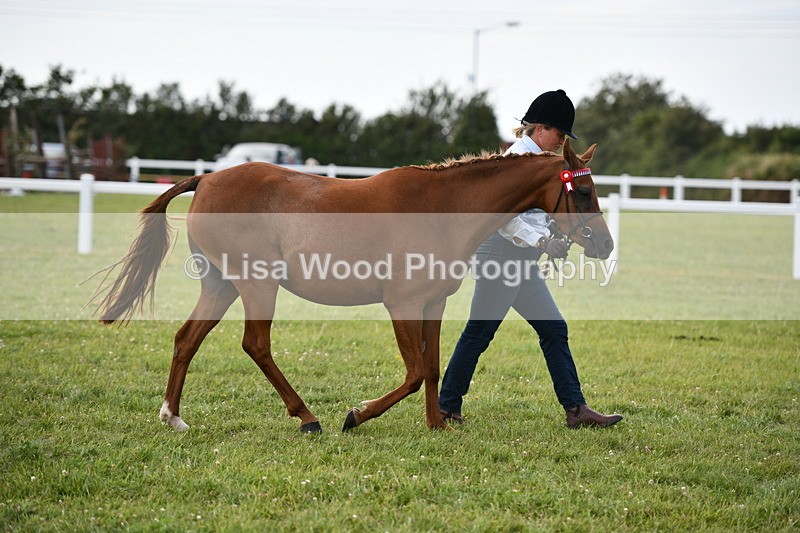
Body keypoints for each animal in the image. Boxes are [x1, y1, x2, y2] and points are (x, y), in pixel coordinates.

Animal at [94, 138, 612, 434]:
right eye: (584, 191)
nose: (605, 244)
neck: (441, 207)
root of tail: (206, 179)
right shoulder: (401, 303)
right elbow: (415, 371)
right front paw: (357, 415)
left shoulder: (433, 304)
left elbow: (433, 365)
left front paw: (437, 425)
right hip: (257, 285)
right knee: (255, 344)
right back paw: (307, 418)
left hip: (221, 286)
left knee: (187, 339)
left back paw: (173, 416)